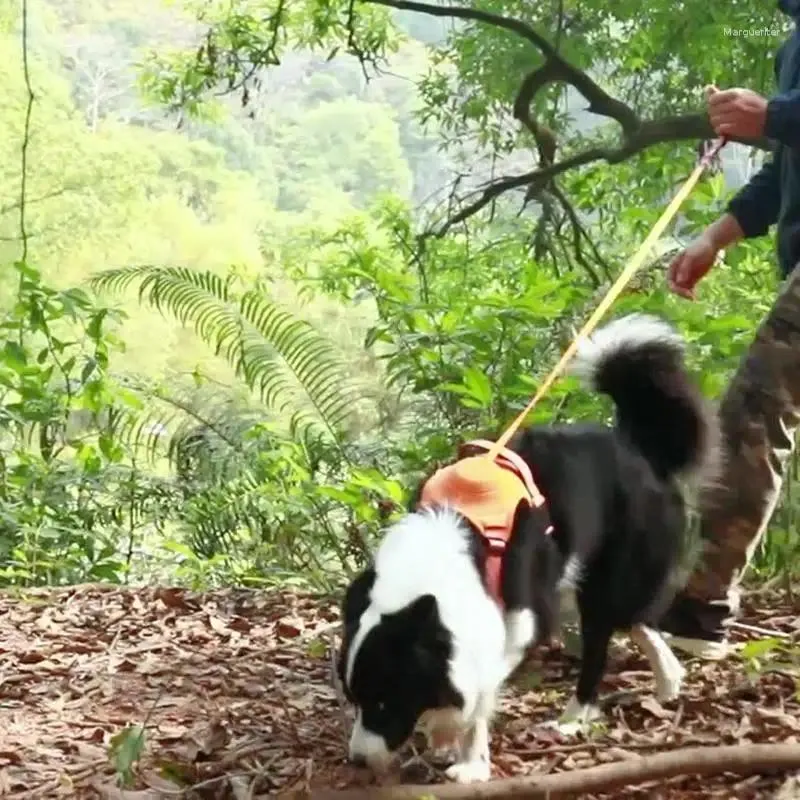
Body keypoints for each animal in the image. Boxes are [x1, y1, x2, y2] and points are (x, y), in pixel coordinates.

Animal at [334, 312, 720, 780]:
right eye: (354, 699)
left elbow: (481, 686)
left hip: (603, 580)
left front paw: (466, 756)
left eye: (384, 700)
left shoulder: (524, 615)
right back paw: (669, 680)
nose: (356, 760)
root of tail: (637, 446)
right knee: (638, 618)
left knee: (602, 644)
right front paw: (448, 740)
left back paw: (574, 718)